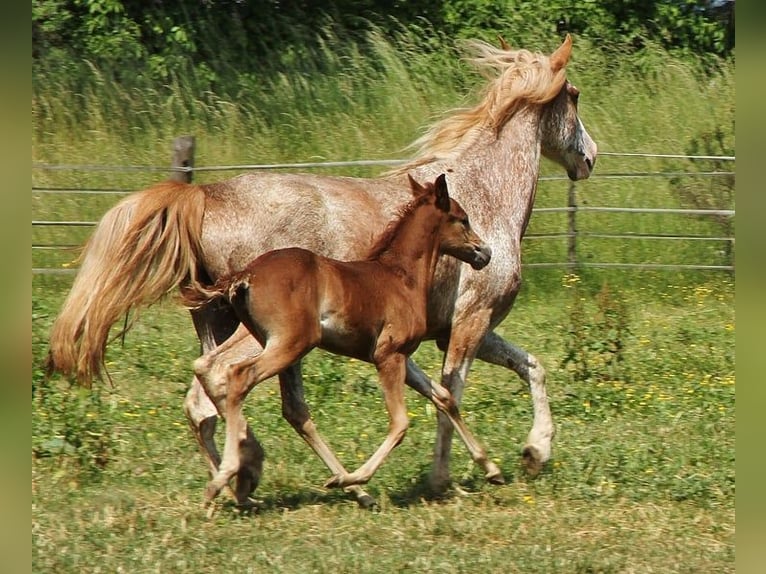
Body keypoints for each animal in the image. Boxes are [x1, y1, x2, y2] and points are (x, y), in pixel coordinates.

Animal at [184, 173, 495, 505]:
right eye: (463, 219)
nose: (484, 252)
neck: (401, 278)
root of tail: (246, 275)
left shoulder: (400, 357)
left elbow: (444, 398)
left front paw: (491, 469)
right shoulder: (389, 356)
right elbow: (400, 423)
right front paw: (349, 479)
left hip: (260, 336)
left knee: (213, 370)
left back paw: (237, 478)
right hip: (290, 344)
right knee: (238, 376)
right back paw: (229, 476)